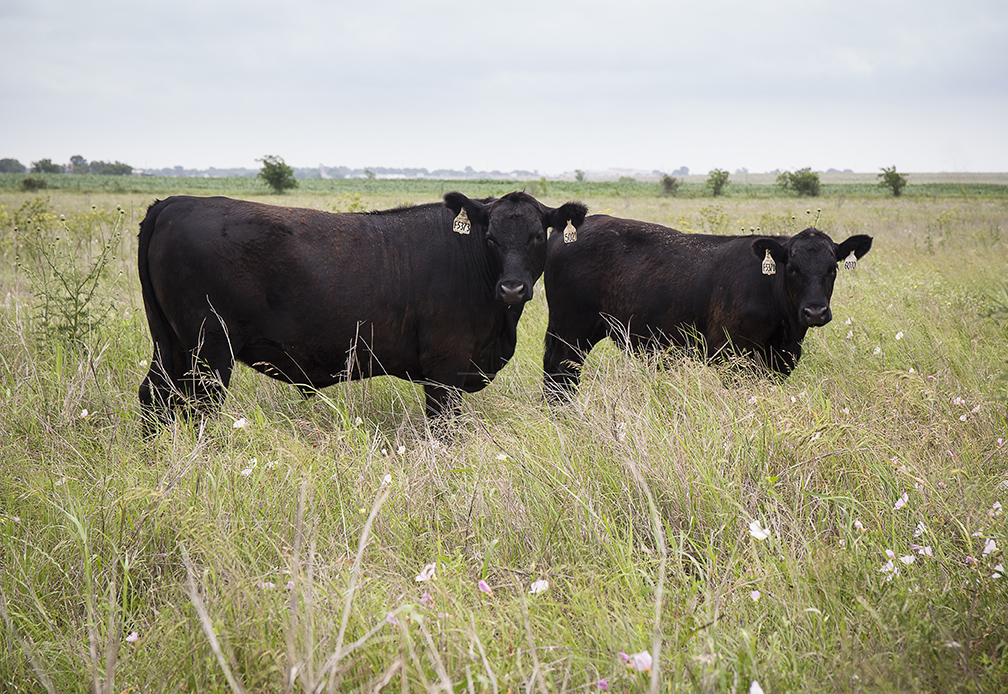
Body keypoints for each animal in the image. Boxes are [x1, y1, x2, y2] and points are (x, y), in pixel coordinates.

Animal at [544, 216, 874, 401]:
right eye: (792, 268)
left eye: (832, 268)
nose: (815, 312)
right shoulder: (730, 355)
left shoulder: (780, 360)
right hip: (571, 331)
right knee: (560, 373)